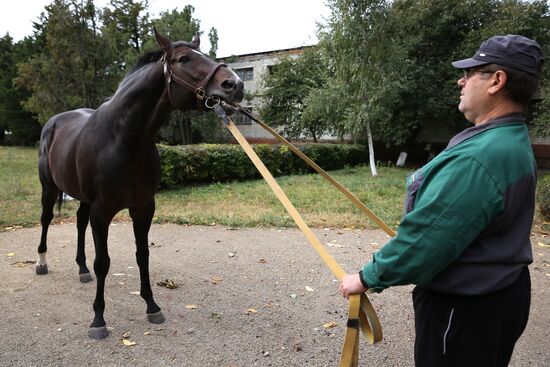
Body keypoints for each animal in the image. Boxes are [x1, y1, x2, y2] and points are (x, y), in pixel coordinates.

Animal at [34, 28, 242, 340]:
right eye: (184, 59)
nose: (235, 84)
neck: (123, 140)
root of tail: (53, 122)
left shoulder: (143, 208)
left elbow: (143, 255)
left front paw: (152, 306)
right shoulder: (102, 212)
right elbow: (103, 262)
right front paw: (98, 319)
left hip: (83, 198)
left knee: (79, 222)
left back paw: (81, 269)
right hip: (49, 188)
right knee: (46, 219)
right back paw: (41, 263)